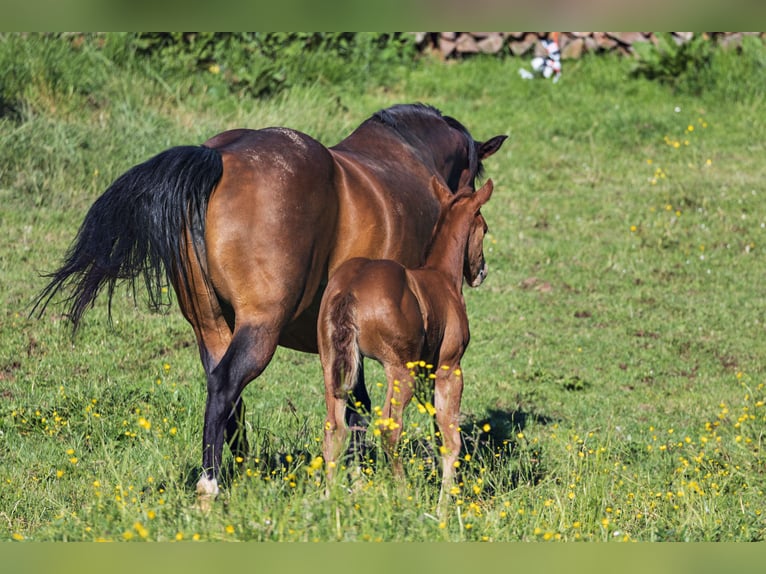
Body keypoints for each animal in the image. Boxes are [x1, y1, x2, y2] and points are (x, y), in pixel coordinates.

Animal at [320, 177, 496, 508]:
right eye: (485, 227)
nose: (481, 272)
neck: (442, 278)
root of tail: (349, 290)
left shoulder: (428, 373)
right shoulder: (449, 368)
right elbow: (451, 440)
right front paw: (443, 507)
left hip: (332, 367)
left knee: (334, 428)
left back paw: (327, 498)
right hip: (400, 370)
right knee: (389, 429)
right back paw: (403, 496)